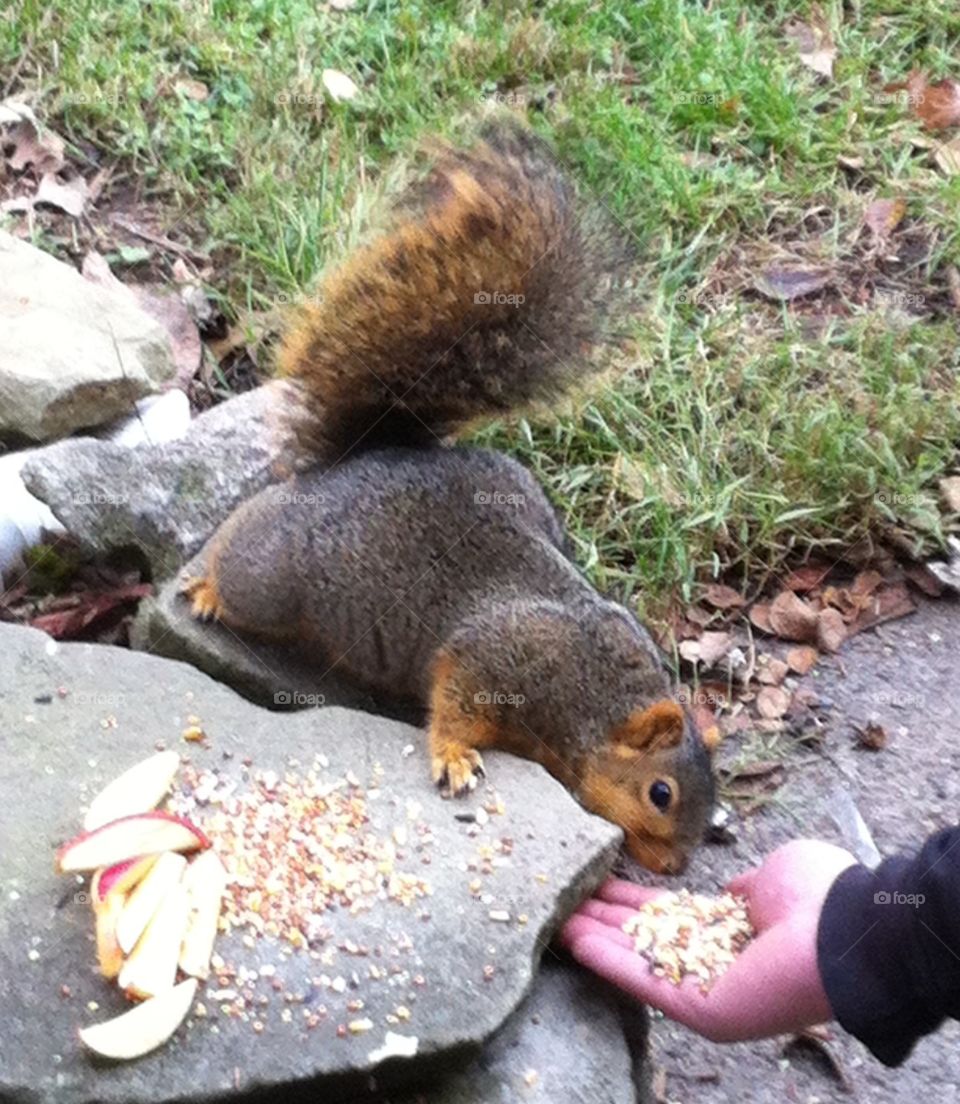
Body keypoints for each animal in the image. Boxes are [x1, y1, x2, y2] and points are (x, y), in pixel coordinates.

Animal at [180, 119, 717, 874]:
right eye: (660, 793)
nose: (672, 870)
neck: (594, 693)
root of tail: (365, 457)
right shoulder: (500, 658)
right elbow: (455, 700)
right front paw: (456, 757)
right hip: (278, 575)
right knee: (244, 542)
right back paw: (207, 587)